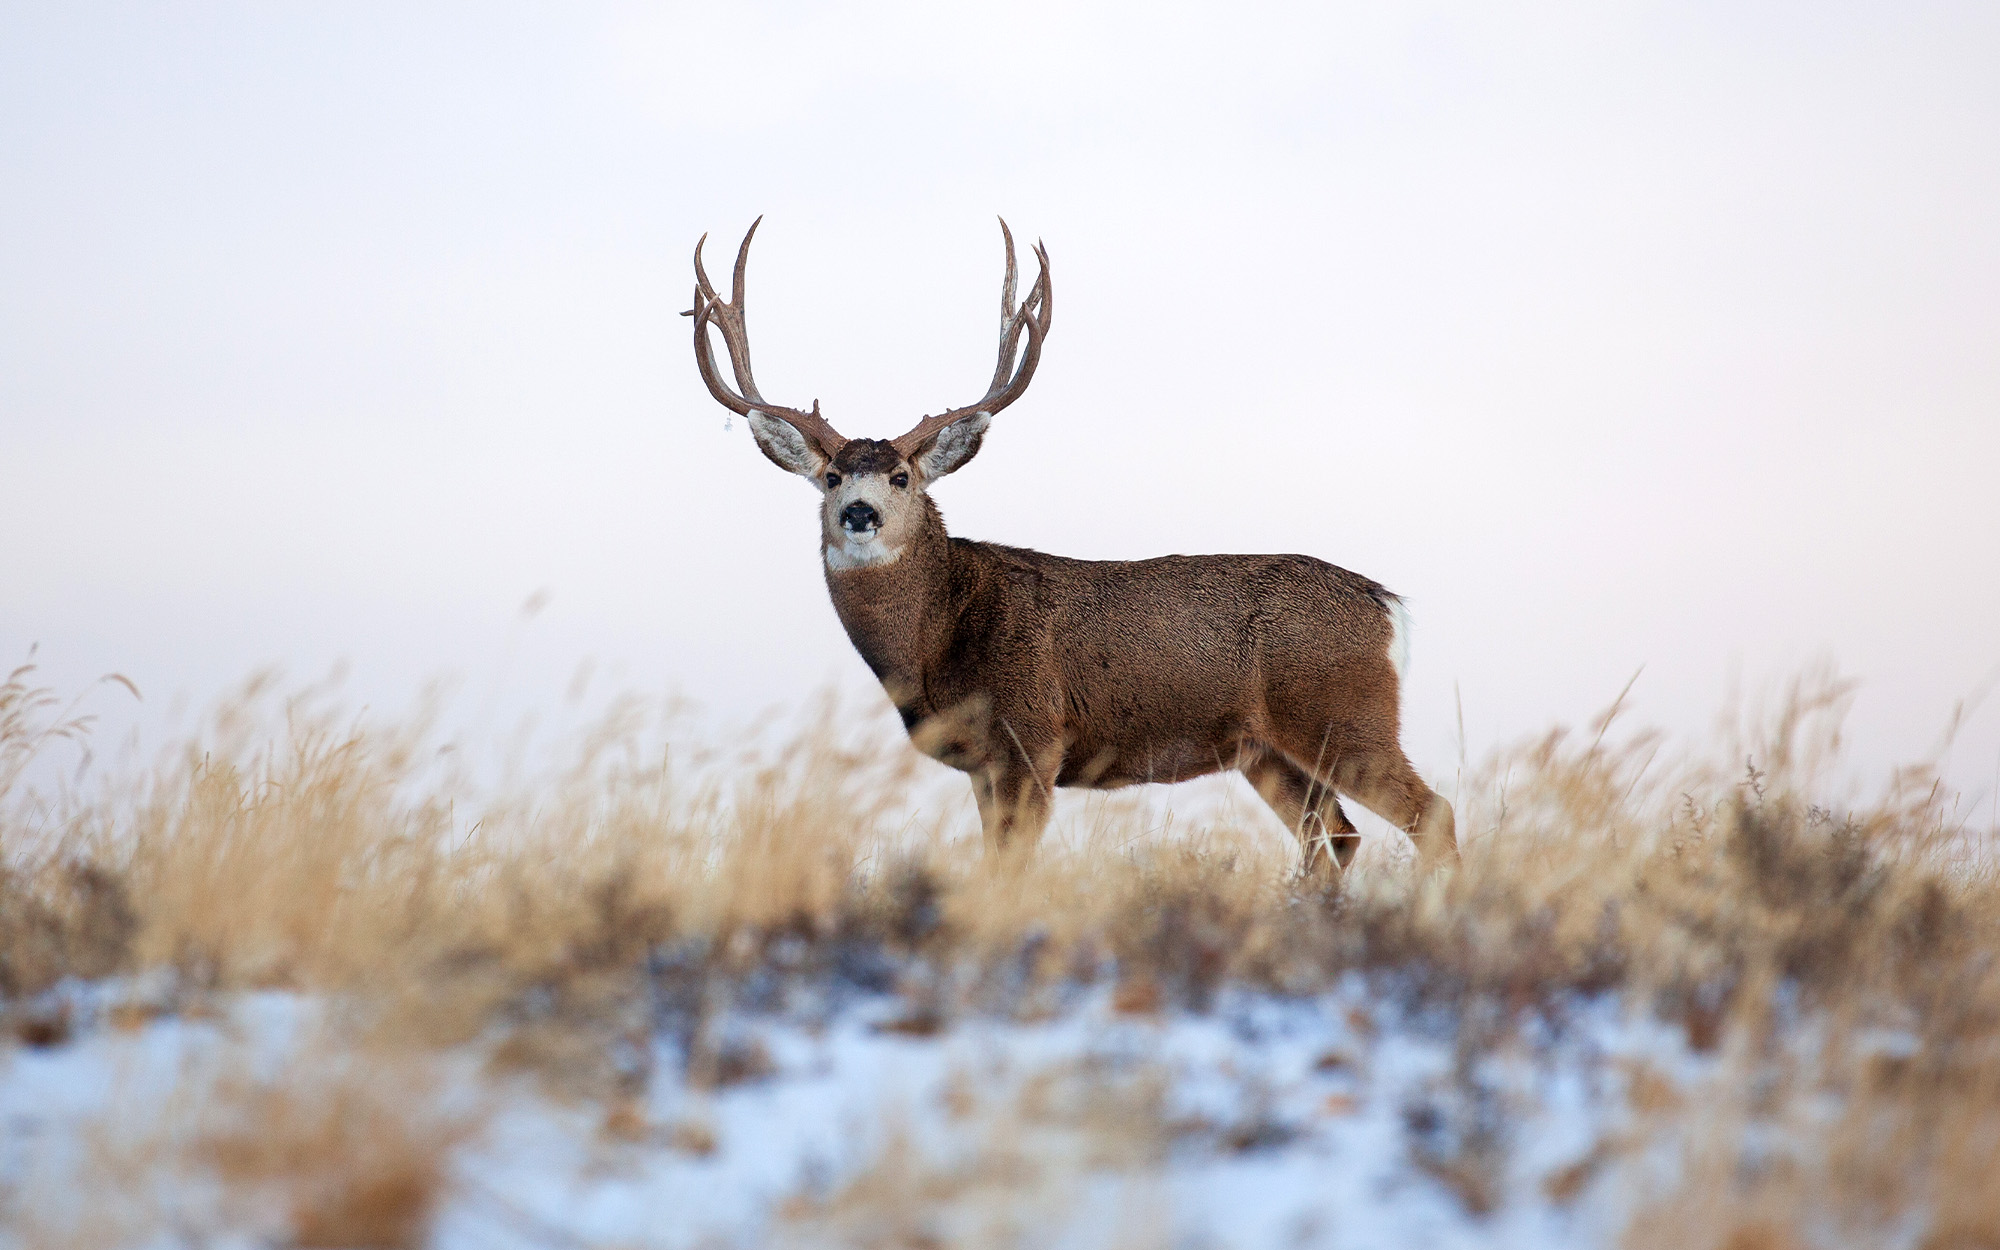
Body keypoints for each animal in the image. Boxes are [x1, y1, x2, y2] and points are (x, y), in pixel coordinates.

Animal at [688, 217, 1456, 876]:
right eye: (831, 476)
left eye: (902, 476)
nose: (857, 512)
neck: (939, 638)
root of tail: (1388, 606)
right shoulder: (986, 765)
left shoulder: (1033, 738)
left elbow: (1008, 869)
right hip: (1266, 750)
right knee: (1337, 839)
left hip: (1344, 714)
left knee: (1431, 815)